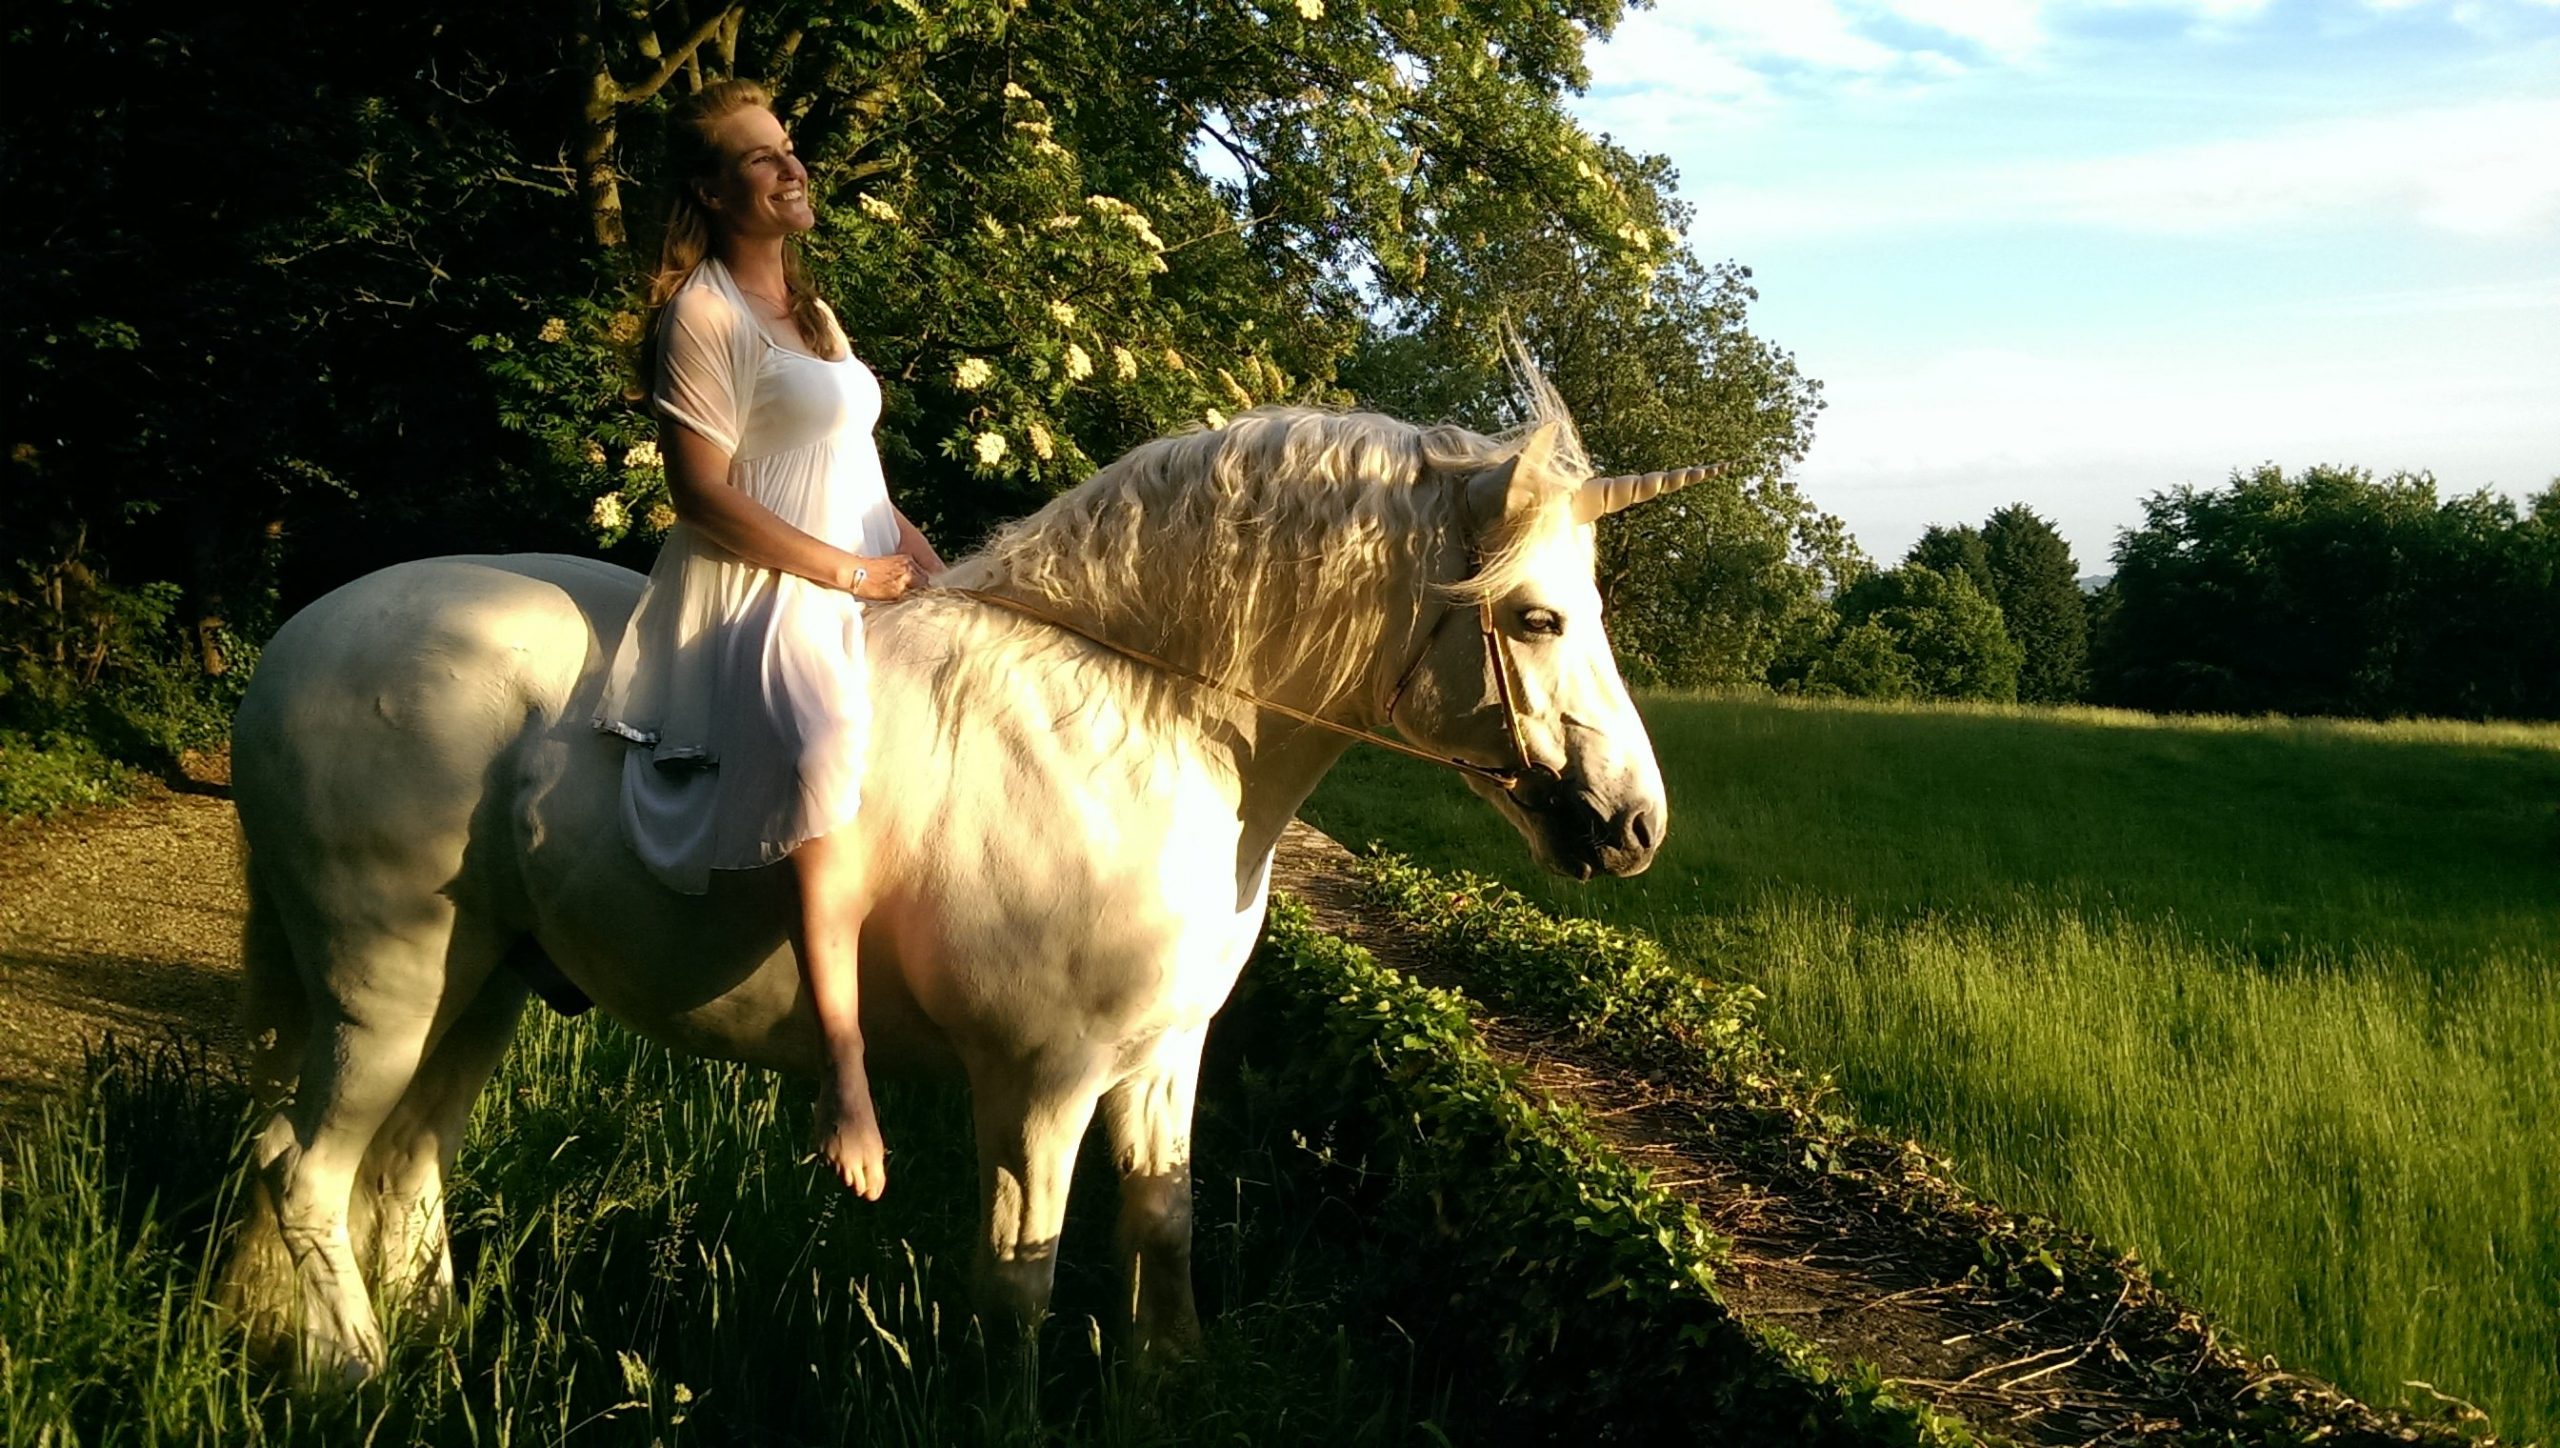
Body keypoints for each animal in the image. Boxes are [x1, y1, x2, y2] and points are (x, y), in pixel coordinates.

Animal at [216, 399, 1716, 1385]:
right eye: (1536, 617)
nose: (1637, 823)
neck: (1144, 724)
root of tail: (300, 639)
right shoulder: (1040, 1084)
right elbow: (1021, 1276)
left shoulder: (1162, 1062)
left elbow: (1161, 1225)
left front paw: (1167, 1384)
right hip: (388, 984)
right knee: (306, 1170)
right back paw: (353, 1371)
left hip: (486, 987)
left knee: (401, 1164)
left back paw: (425, 1342)